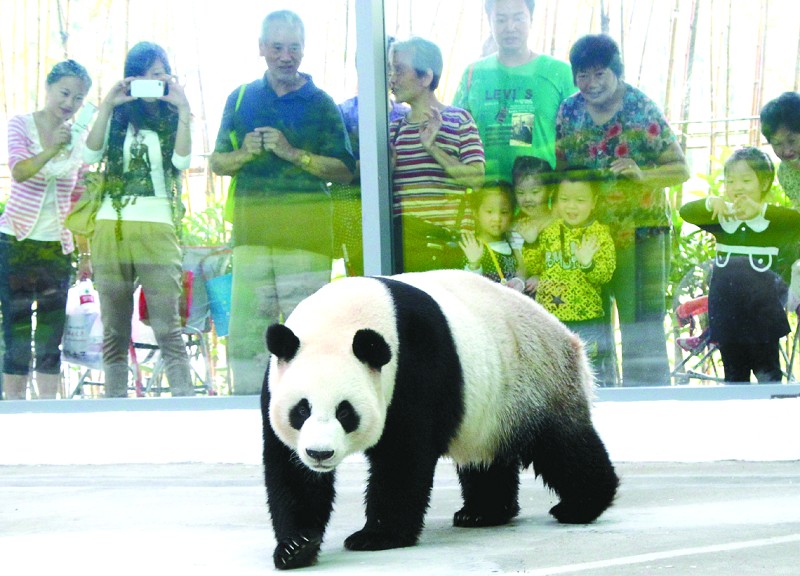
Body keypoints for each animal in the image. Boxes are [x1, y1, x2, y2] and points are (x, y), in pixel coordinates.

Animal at [262, 272, 620, 572]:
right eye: (301, 410)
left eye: (345, 412)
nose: (319, 454)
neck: (342, 318)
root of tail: (568, 336)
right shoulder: (276, 381)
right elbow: (291, 472)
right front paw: (297, 546)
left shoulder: (413, 366)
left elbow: (402, 458)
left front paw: (376, 536)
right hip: (493, 408)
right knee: (486, 462)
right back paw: (481, 513)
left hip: (537, 380)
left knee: (563, 448)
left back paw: (580, 506)